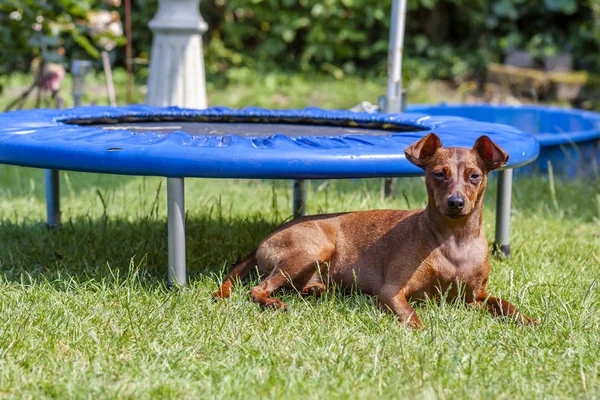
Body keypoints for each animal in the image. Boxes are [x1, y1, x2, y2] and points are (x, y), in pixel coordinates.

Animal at [213, 134, 536, 328]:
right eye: (438, 174)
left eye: (475, 176)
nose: (456, 203)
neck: (454, 241)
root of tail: (261, 242)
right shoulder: (391, 292)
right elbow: (411, 316)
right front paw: (421, 330)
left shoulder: (475, 298)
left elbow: (505, 305)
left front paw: (528, 321)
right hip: (313, 248)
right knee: (259, 288)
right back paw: (273, 302)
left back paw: (315, 290)